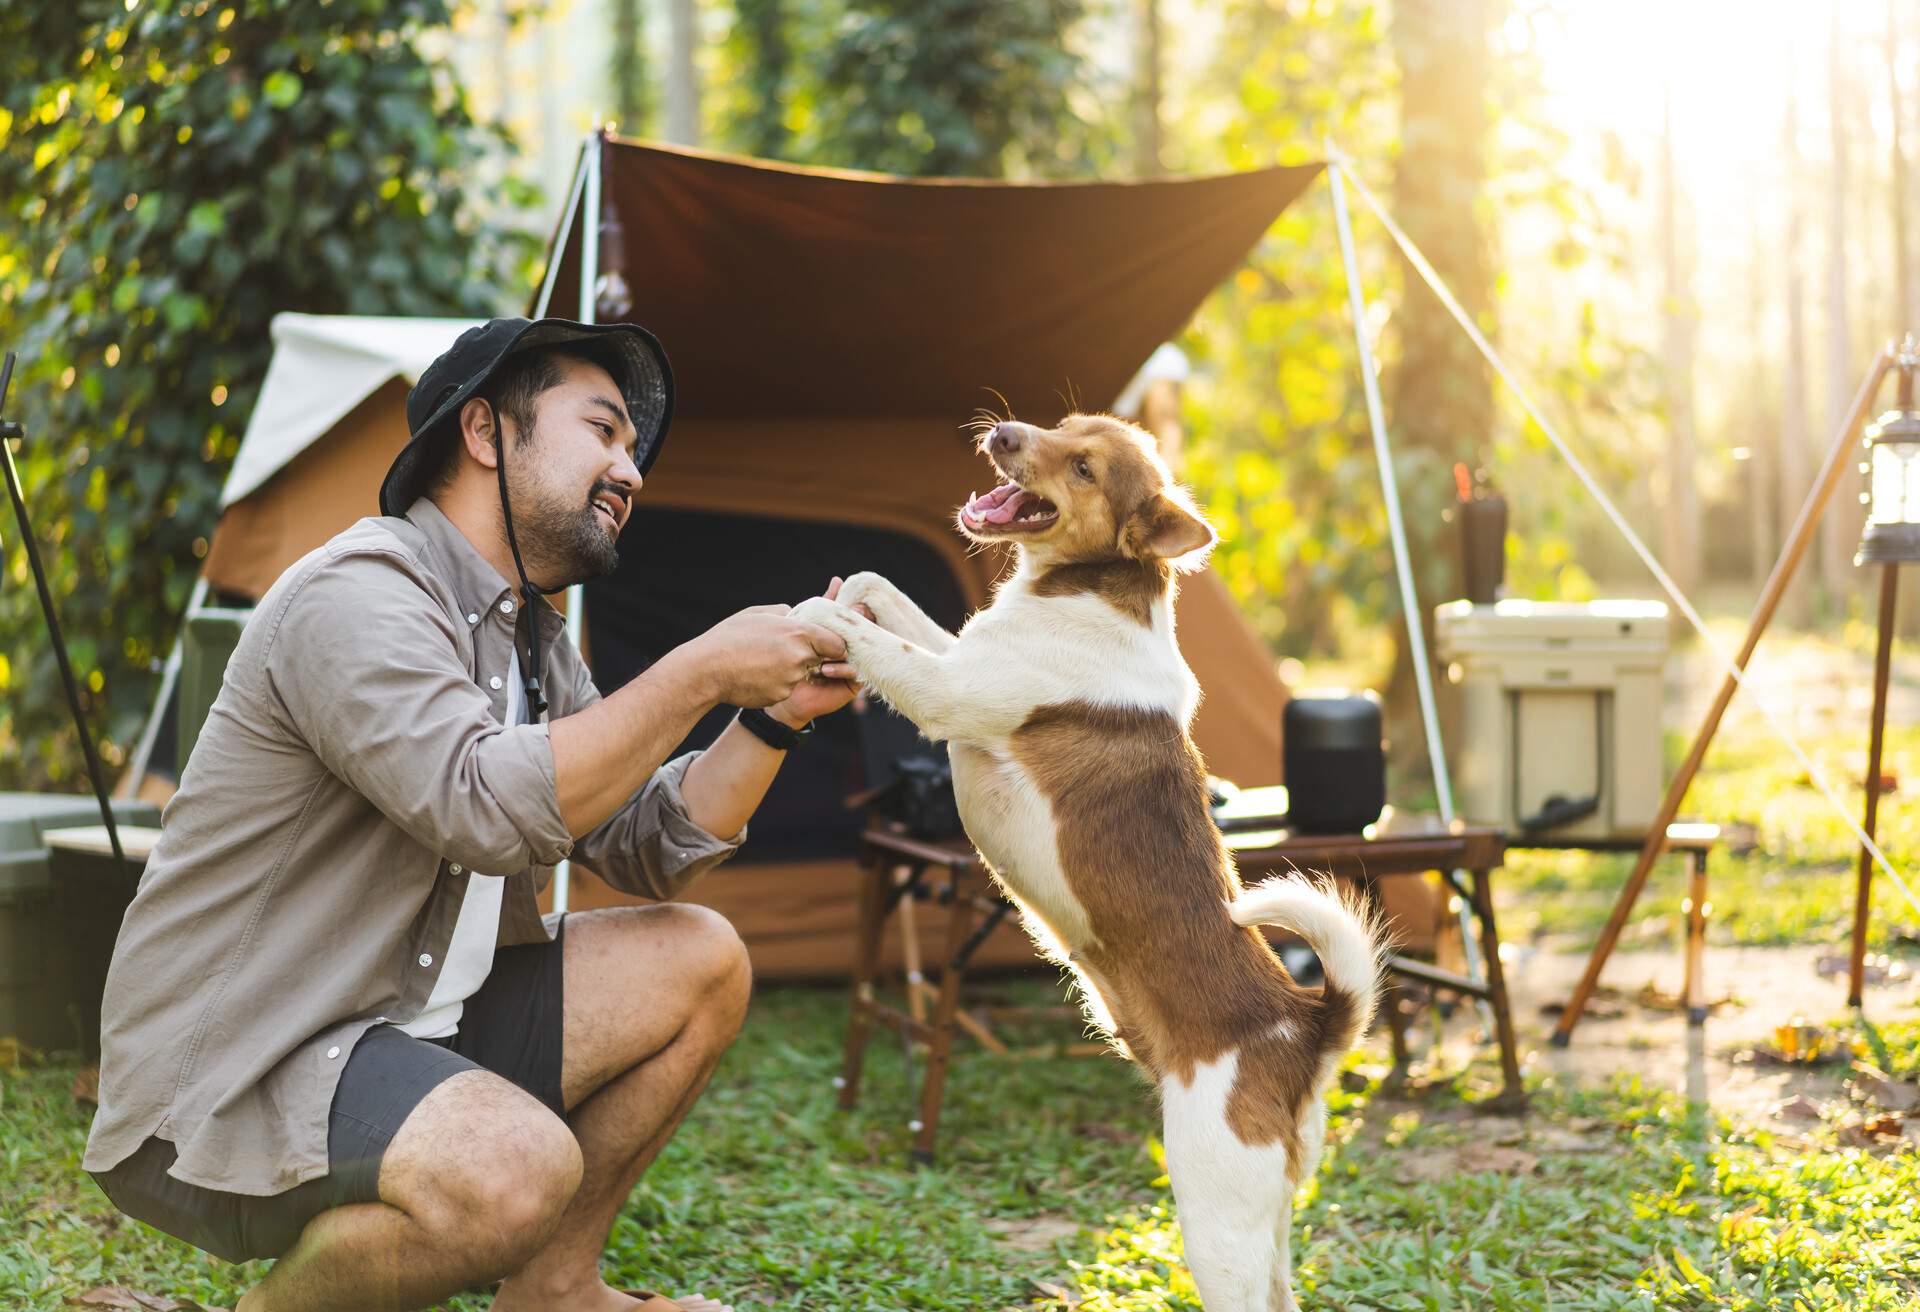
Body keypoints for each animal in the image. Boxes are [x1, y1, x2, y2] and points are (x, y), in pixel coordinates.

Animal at [787, 413, 1390, 1312]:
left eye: (1082, 467)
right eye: (1062, 427)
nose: (1003, 432)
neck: (1087, 587)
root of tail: (1305, 1027)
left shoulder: (949, 693)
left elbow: (870, 638)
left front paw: (812, 618)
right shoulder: (962, 653)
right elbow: (882, 591)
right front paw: (841, 592)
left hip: (1216, 1217)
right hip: (1273, 1221)